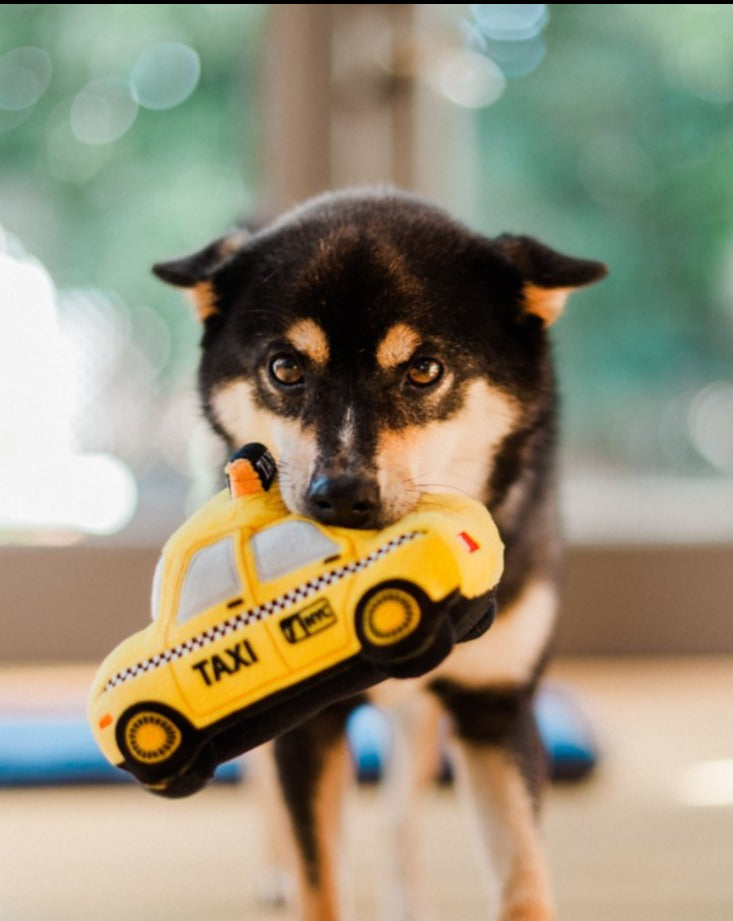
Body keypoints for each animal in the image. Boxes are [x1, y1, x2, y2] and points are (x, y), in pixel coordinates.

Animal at [153, 189, 608, 920]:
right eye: (285, 368)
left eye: (424, 369)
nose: (339, 494)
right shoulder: (307, 723)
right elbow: (320, 875)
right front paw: (299, 875)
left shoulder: (496, 706)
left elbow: (523, 879)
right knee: (268, 787)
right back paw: (274, 870)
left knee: (402, 808)